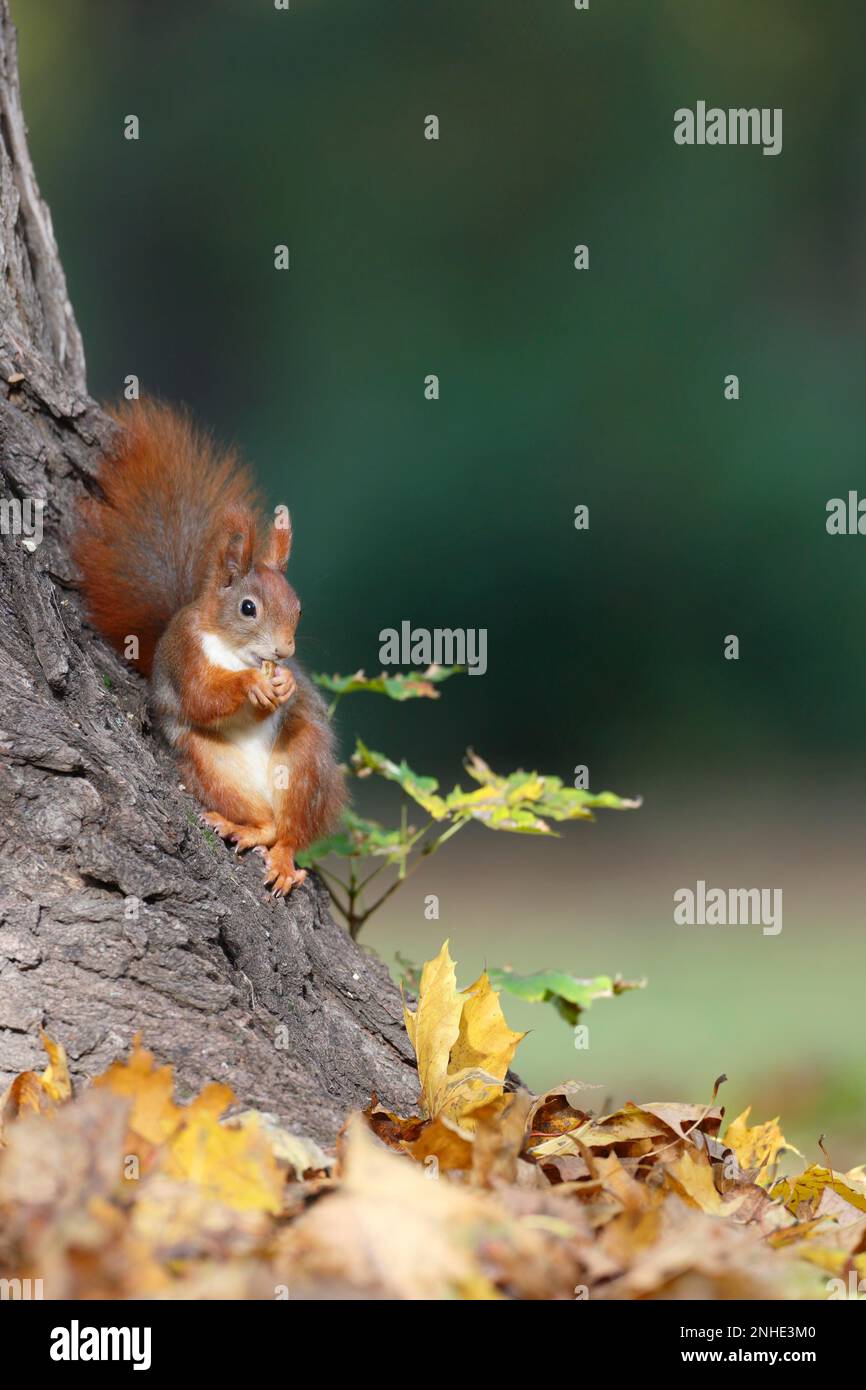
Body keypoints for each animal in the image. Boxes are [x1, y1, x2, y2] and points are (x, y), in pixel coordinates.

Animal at [73, 398, 345, 896]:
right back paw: (240, 826)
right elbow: (201, 695)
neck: (235, 652)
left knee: (290, 833)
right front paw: (251, 686)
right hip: (211, 765)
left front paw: (287, 683)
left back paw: (282, 859)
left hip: (305, 761)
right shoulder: (186, 654)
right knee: (265, 824)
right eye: (248, 608)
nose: (283, 651)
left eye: (298, 607)